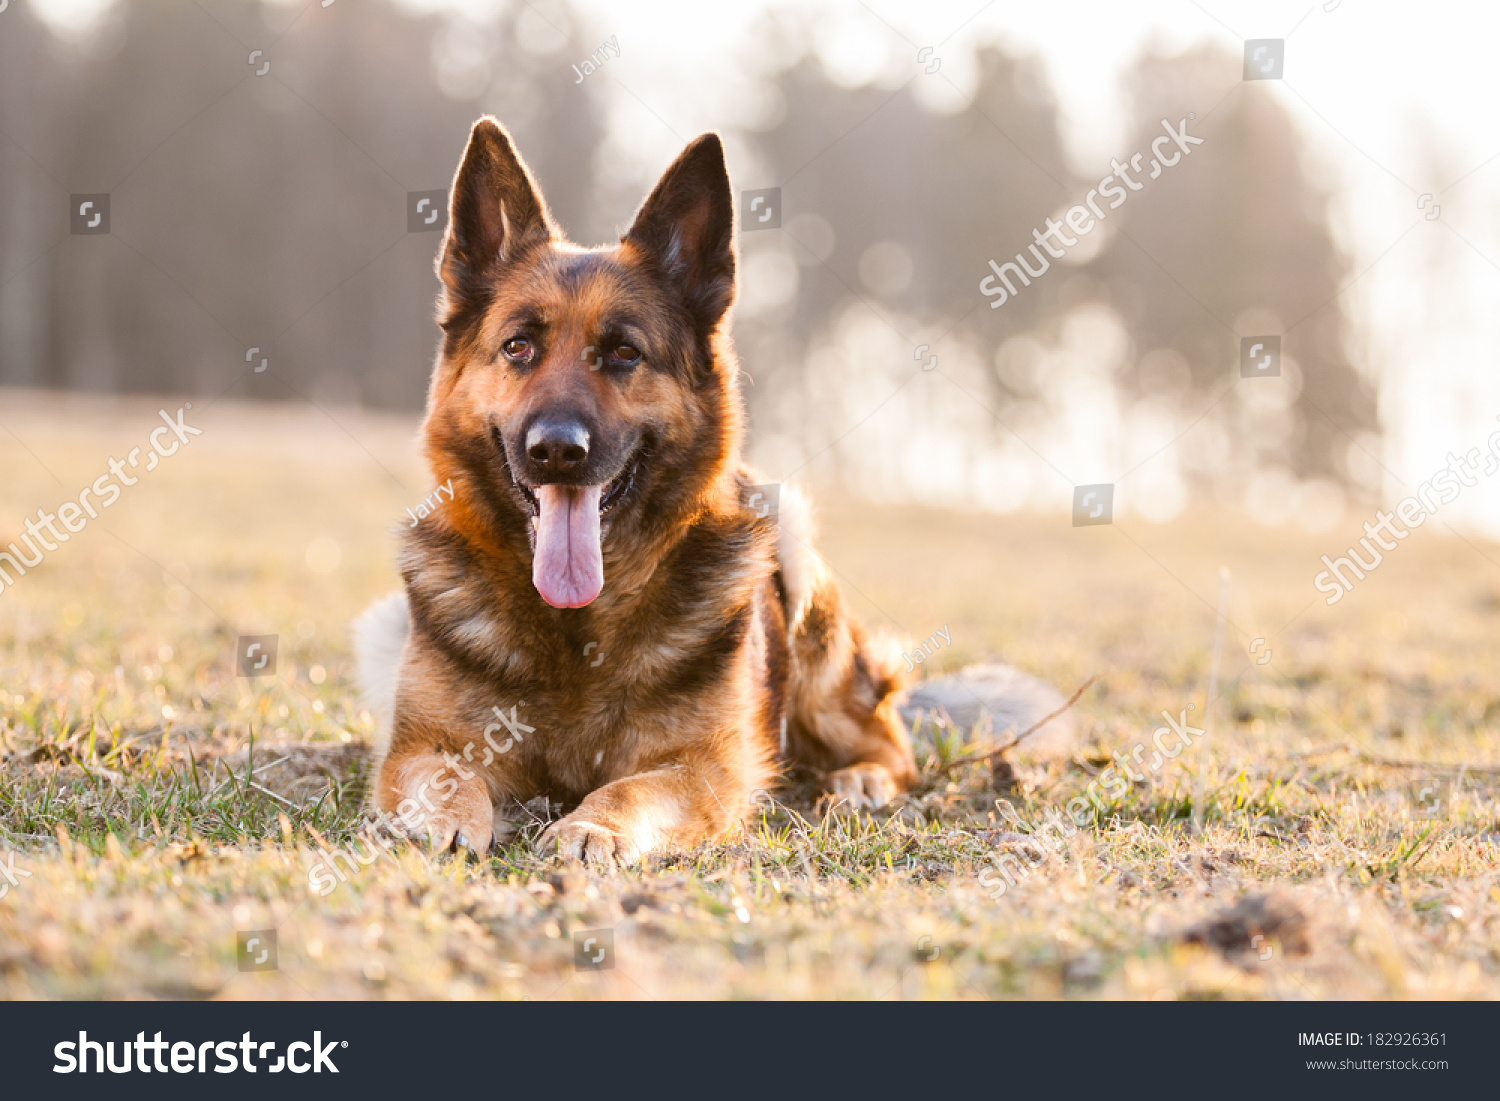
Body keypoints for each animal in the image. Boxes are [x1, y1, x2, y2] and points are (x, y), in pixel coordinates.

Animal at [351, 116, 918, 864]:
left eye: (624, 352)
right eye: (518, 346)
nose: (557, 450)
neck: (576, 628)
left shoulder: (705, 768)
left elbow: (631, 789)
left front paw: (593, 826)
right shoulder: (418, 749)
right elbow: (446, 776)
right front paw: (444, 822)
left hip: (800, 570)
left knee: (889, 739)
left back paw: (860, 780)